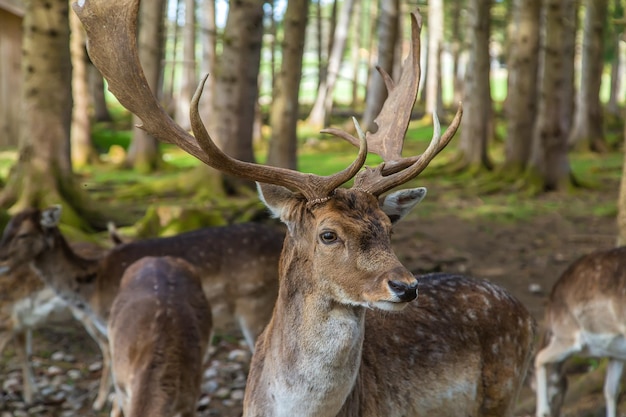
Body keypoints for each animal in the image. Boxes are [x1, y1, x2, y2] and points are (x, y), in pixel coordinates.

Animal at [532, 247, 624, 416]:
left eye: (556, 393)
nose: (557, 412)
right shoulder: (617, 353)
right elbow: (610, 391)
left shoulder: (569, 336)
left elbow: (539, 358)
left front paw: (542, 410)